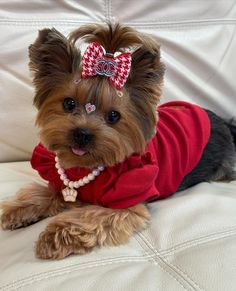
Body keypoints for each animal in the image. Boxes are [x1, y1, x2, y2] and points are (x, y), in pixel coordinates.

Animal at [1, 23, 236, 260]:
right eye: (68, 103)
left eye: (113, 116)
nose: (82, 134)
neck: (86, 167)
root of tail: (224, 121)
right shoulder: (64, 184)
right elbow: (43, 192)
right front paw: (18, 210)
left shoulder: (128, 203)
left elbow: (92, 216)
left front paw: (55, 235)